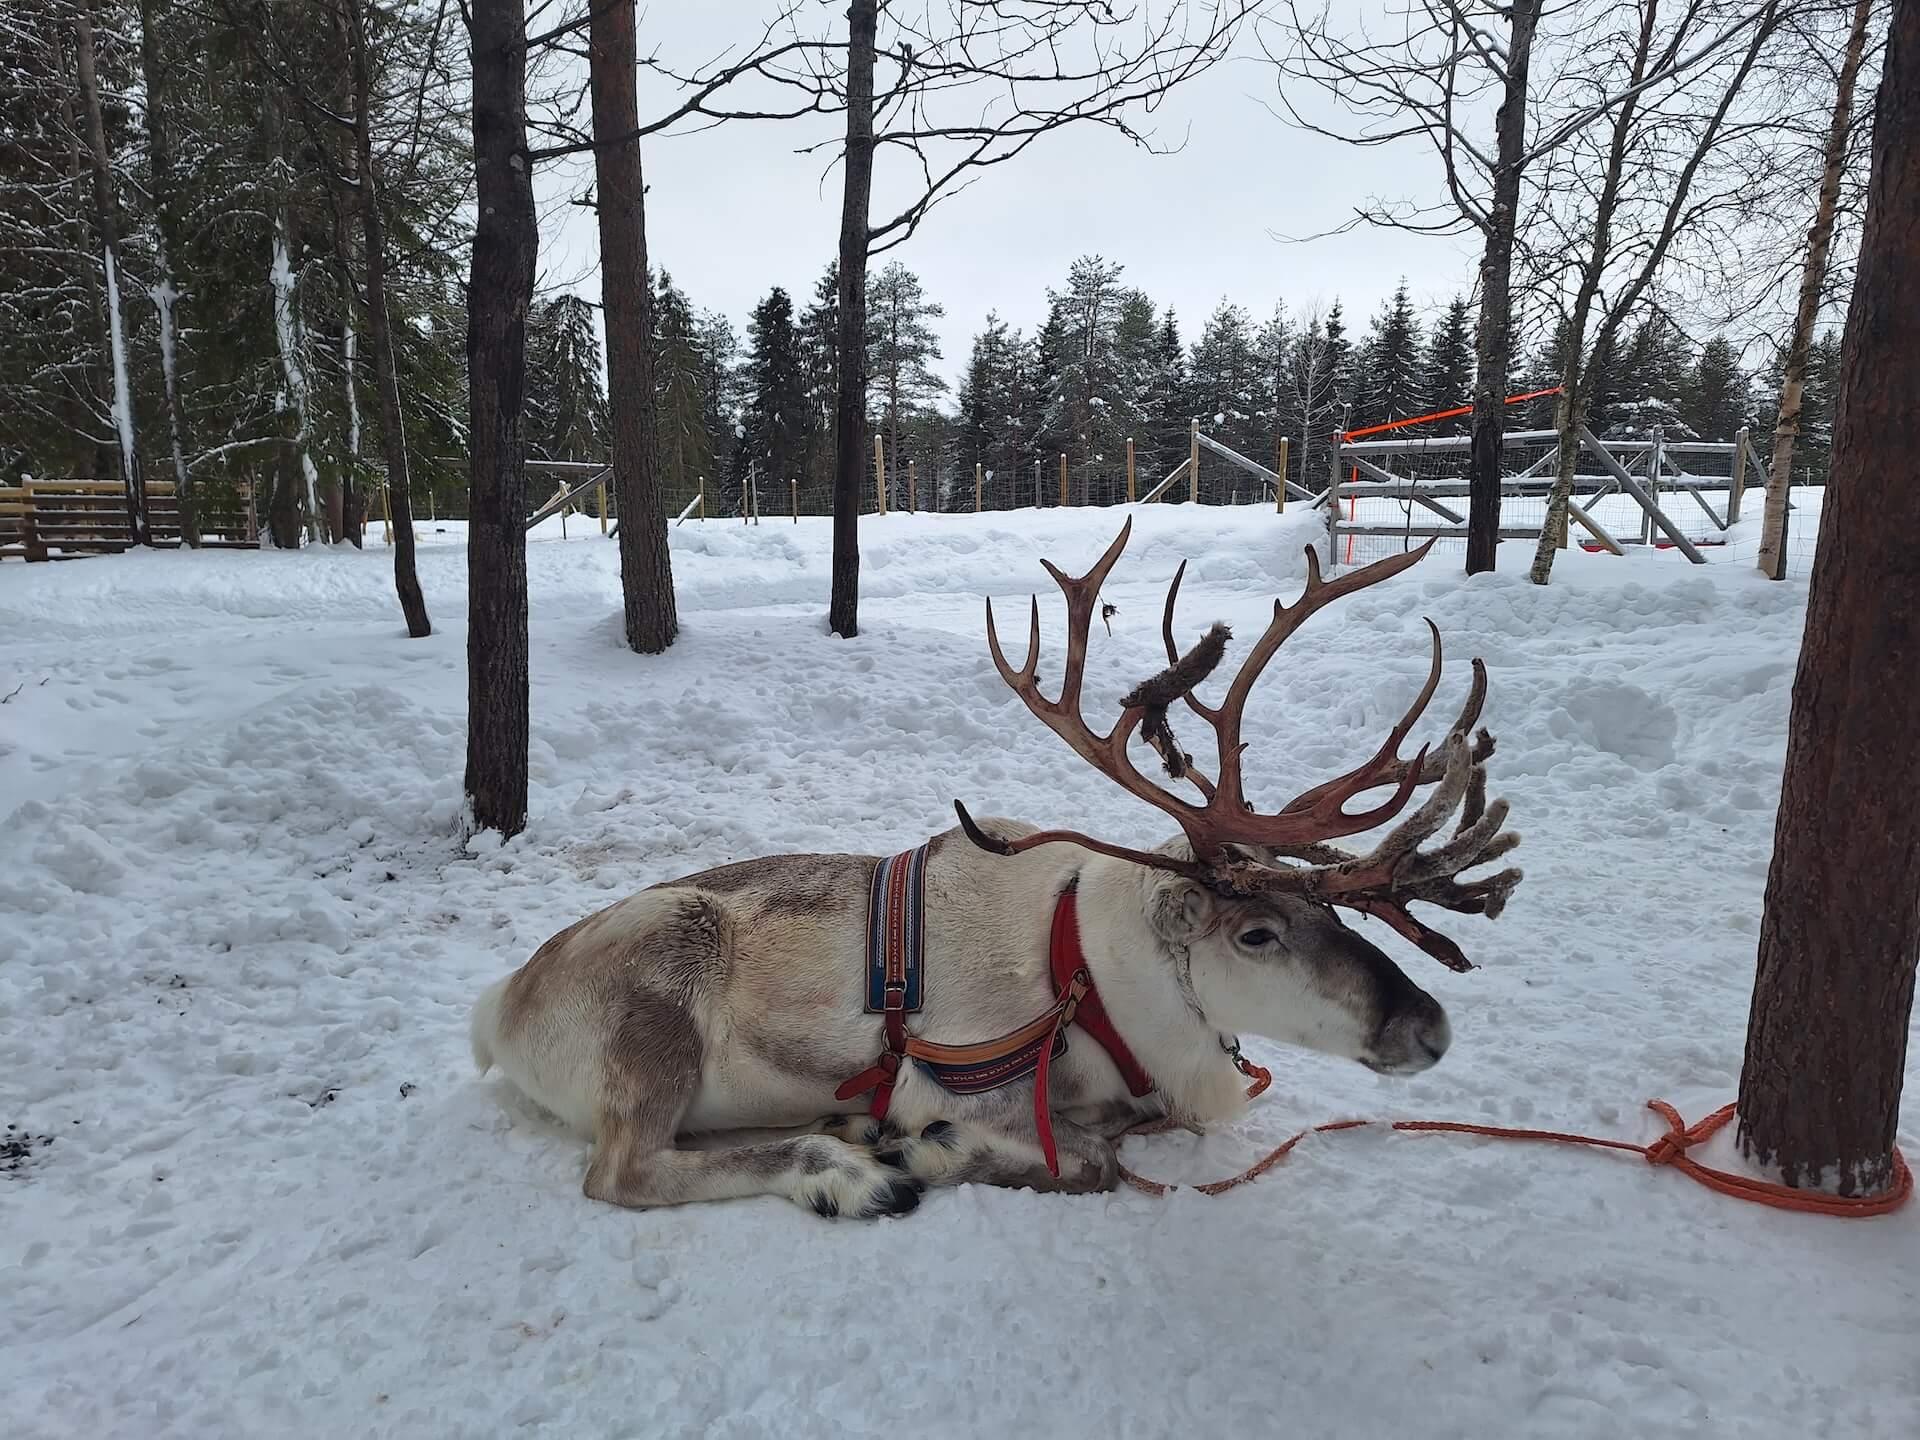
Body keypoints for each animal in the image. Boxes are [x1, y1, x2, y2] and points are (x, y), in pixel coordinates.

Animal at [470, 520, 1521, 1219]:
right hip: (661, 971)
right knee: (624, 1170)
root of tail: (500, 1007)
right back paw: (847, 1170)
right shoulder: (953, 1080)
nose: (1428, 1028)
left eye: (1341, 920)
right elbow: (1088, 1160)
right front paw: (932, 1153)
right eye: (1256, 932)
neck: (1090, 973)